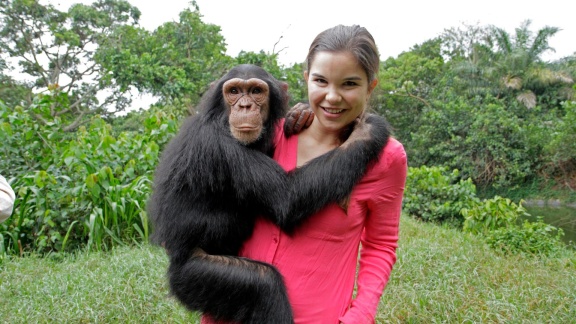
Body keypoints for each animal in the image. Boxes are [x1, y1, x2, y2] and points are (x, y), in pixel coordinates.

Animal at [146, 64, 392, 324]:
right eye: (234, 91)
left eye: (256, 91)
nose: (245, 106)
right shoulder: (218, 146)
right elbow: (287, 198)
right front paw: (369, 130)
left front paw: (300, 114)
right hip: (192, 276)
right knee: (264, 283)